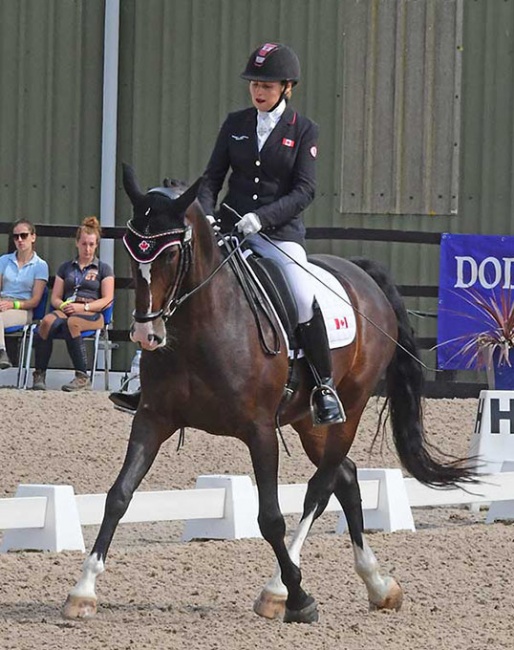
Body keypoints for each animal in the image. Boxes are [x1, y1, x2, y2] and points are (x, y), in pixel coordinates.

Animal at [63, 165, 472, 620]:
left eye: (169, 254)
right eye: (135, 252)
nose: (146, 335)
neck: (201, 326)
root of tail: (363, 275)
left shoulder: (259, 431)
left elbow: (271, 517)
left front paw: (300, 596)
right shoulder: (153, 419)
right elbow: (118, 496)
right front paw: (83, 590)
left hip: (349, 406)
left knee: (320, 487)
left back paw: (279, 588)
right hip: (307, 421)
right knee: (346, 477)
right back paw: (377, 583)